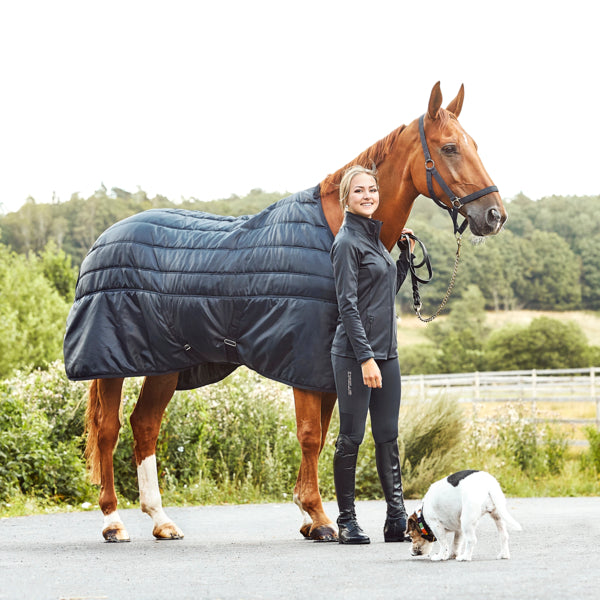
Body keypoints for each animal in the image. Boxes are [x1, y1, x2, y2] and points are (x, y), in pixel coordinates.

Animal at [72, 82, 508, 540]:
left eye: (474, 145)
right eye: (449, 148)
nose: (494, 215)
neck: (334, 230)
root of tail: (104, 239)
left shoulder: (326, 369)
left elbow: (326, 432)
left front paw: (309, 516)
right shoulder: (303, 359)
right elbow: (311, 435)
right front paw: (319, 517)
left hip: (165, 365)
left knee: (144, 426)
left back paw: (161, 520)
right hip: (113, 365)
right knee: (108, 430)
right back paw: (113, 520)